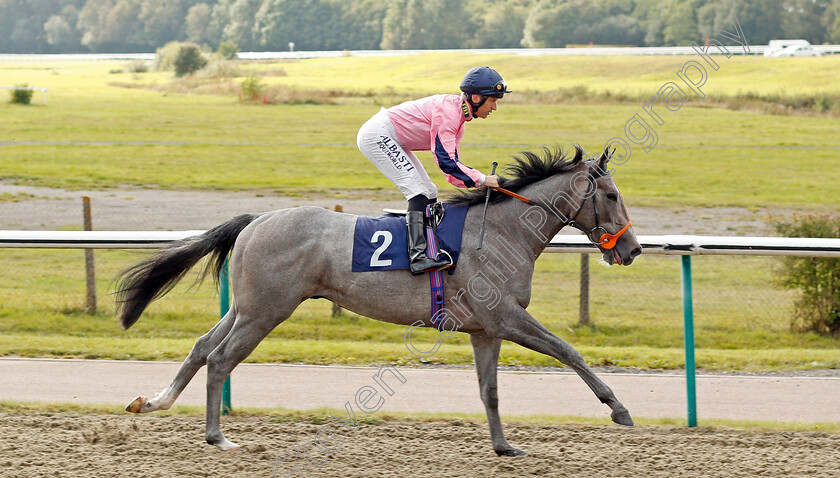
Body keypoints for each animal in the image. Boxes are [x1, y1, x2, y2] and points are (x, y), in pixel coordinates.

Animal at [116, 146, 644, 456]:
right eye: (611, 195)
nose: (633, 249)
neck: (504, 231)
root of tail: (255, 219)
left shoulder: (485, 329)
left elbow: (490, 390)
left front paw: (503, 447)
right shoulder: (507, 317)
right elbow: (568, 350)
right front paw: (619, 409)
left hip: (246, 307)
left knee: (203, 346)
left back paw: (155, 402)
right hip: (266, 311)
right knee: (222, 358)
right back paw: (217, 436)